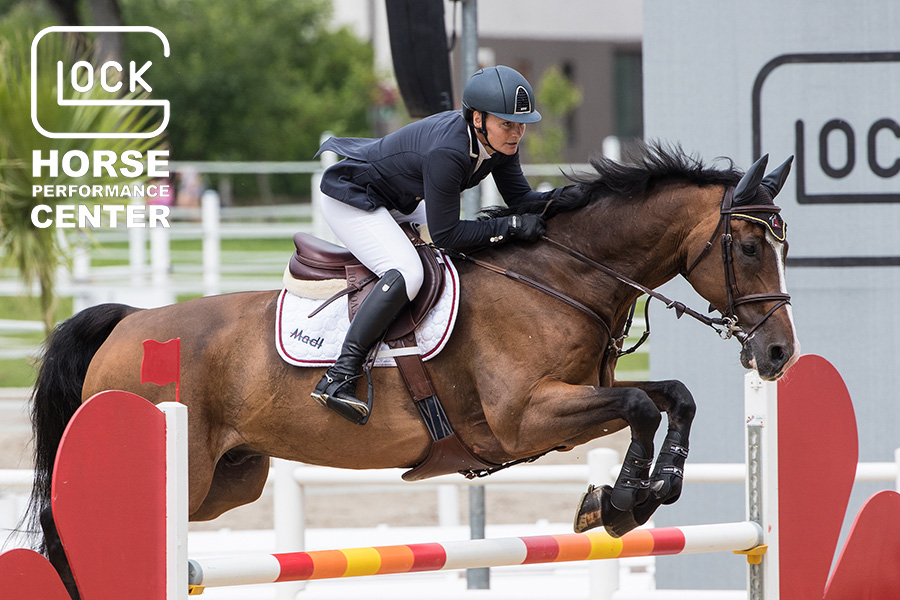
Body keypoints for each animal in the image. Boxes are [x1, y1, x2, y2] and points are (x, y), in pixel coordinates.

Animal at [24, 144, 800, 548]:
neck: (561, 278)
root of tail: (126, 324)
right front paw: (619, 502)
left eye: (782, 245)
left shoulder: (579, 397)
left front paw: (647, 491)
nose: (778, 356)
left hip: (228, 482)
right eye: (749, 246)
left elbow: (673, 397)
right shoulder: (526, 417)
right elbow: (641, 406)